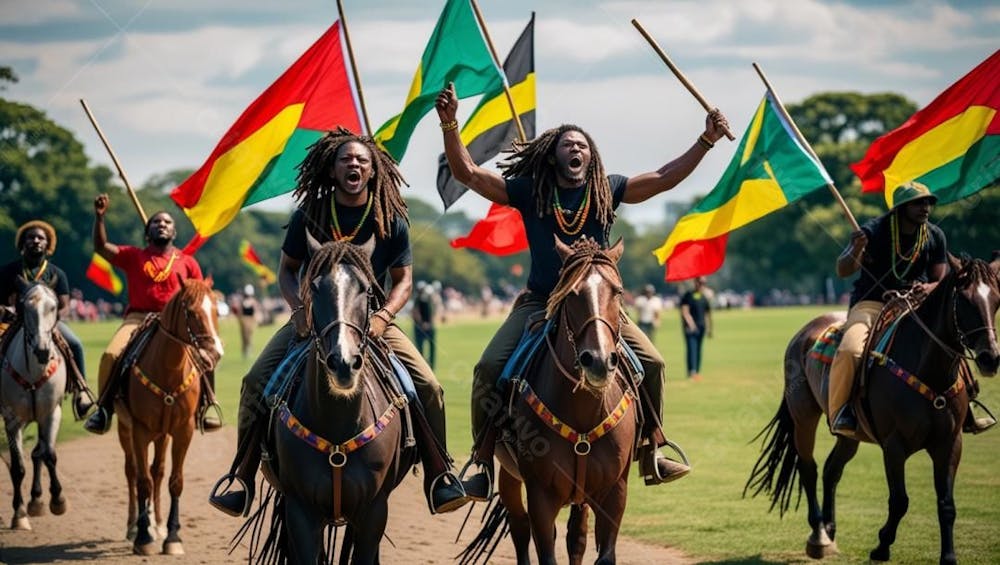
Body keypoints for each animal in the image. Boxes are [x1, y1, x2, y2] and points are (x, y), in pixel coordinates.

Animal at [0, 280, 68, 532]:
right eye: (25, 307)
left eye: (53, 306)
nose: (42, 350)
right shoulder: (11, 419)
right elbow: (17, 468)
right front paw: (18, 514)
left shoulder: (51, 413)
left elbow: (48, 454)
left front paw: (57, 500)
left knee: (39, 453)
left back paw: (37, 499)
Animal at [116, 276, 224, 552]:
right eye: (192, 312)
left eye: (216, 310)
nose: (214, 353)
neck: (168, 370)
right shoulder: (140, 430)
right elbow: (142, 482)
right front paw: (143, 536)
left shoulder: (182, 431)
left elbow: (175, 481)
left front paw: (172, 536)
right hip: (126, 430)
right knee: (132, 471)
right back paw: (134, 526)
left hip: (162, 435)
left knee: (158, 471)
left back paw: (158, 524)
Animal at [256, 238, 416, 564]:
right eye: (315, 287)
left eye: (366, 289)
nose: (343, 362)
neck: (338, 427)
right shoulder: (300, 511)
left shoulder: (373, 512)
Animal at [464, 237, 636, 564]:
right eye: (571, 293)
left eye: (618, 292)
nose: (598, 360)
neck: (584, 413)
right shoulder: (541, 496)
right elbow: (544, 548)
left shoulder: (615, 493)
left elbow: (601, 552)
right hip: (509, 474)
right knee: (520, 527)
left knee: (576, 537)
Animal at [748, 253, 996, 560]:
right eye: (964, 300)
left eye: (996, 299)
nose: (990, 358)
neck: (928, 370)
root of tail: (804, 333)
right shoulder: (894, 445)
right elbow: (900, 500)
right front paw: (881, 545)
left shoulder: (950, 443)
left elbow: (946, 503)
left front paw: (948, 556)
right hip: (803, 415)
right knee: (809, 468)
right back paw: (819, 536)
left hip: (848, 433)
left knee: (831, 469)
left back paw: (829, 528)